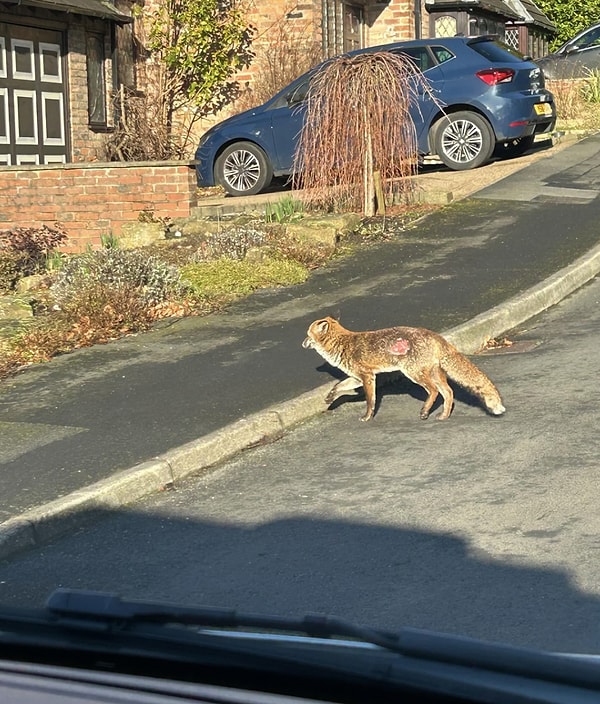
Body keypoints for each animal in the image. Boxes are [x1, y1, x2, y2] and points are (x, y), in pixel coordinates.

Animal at [302, 316, 504, 420]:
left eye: (307, 335)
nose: (302, 343)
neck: (342, 344)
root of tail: (434, 334)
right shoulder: (357, 377)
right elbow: (338, 387)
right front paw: (329, 398)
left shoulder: (368, 377)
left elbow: (370, 401)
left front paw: (367, 417)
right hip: (433, 374)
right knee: (448, 392)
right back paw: (443, 416)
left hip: (413, 373)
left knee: (433, 391)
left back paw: (425, 412)